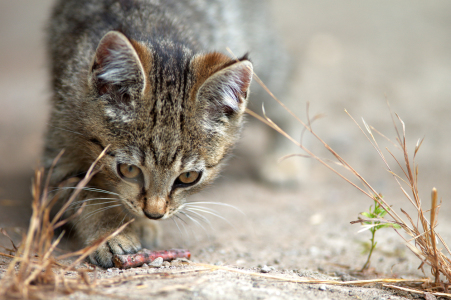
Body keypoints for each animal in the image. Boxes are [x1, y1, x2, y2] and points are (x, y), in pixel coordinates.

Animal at [43, 0, 290, 268]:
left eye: (189, 176)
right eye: (128, 170)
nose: (154, 213)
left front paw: (138, 224)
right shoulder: (60, 146)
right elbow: (86, 196)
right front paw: (111, 234)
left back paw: (285, 163)